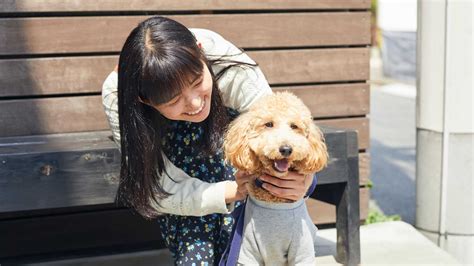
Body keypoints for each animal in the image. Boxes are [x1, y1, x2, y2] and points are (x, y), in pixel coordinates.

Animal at [223, 92, 328, 266]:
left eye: (294, 126)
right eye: (268, 124)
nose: (286, 149)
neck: (275, 203)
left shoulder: (303, 251)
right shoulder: (247, 251)